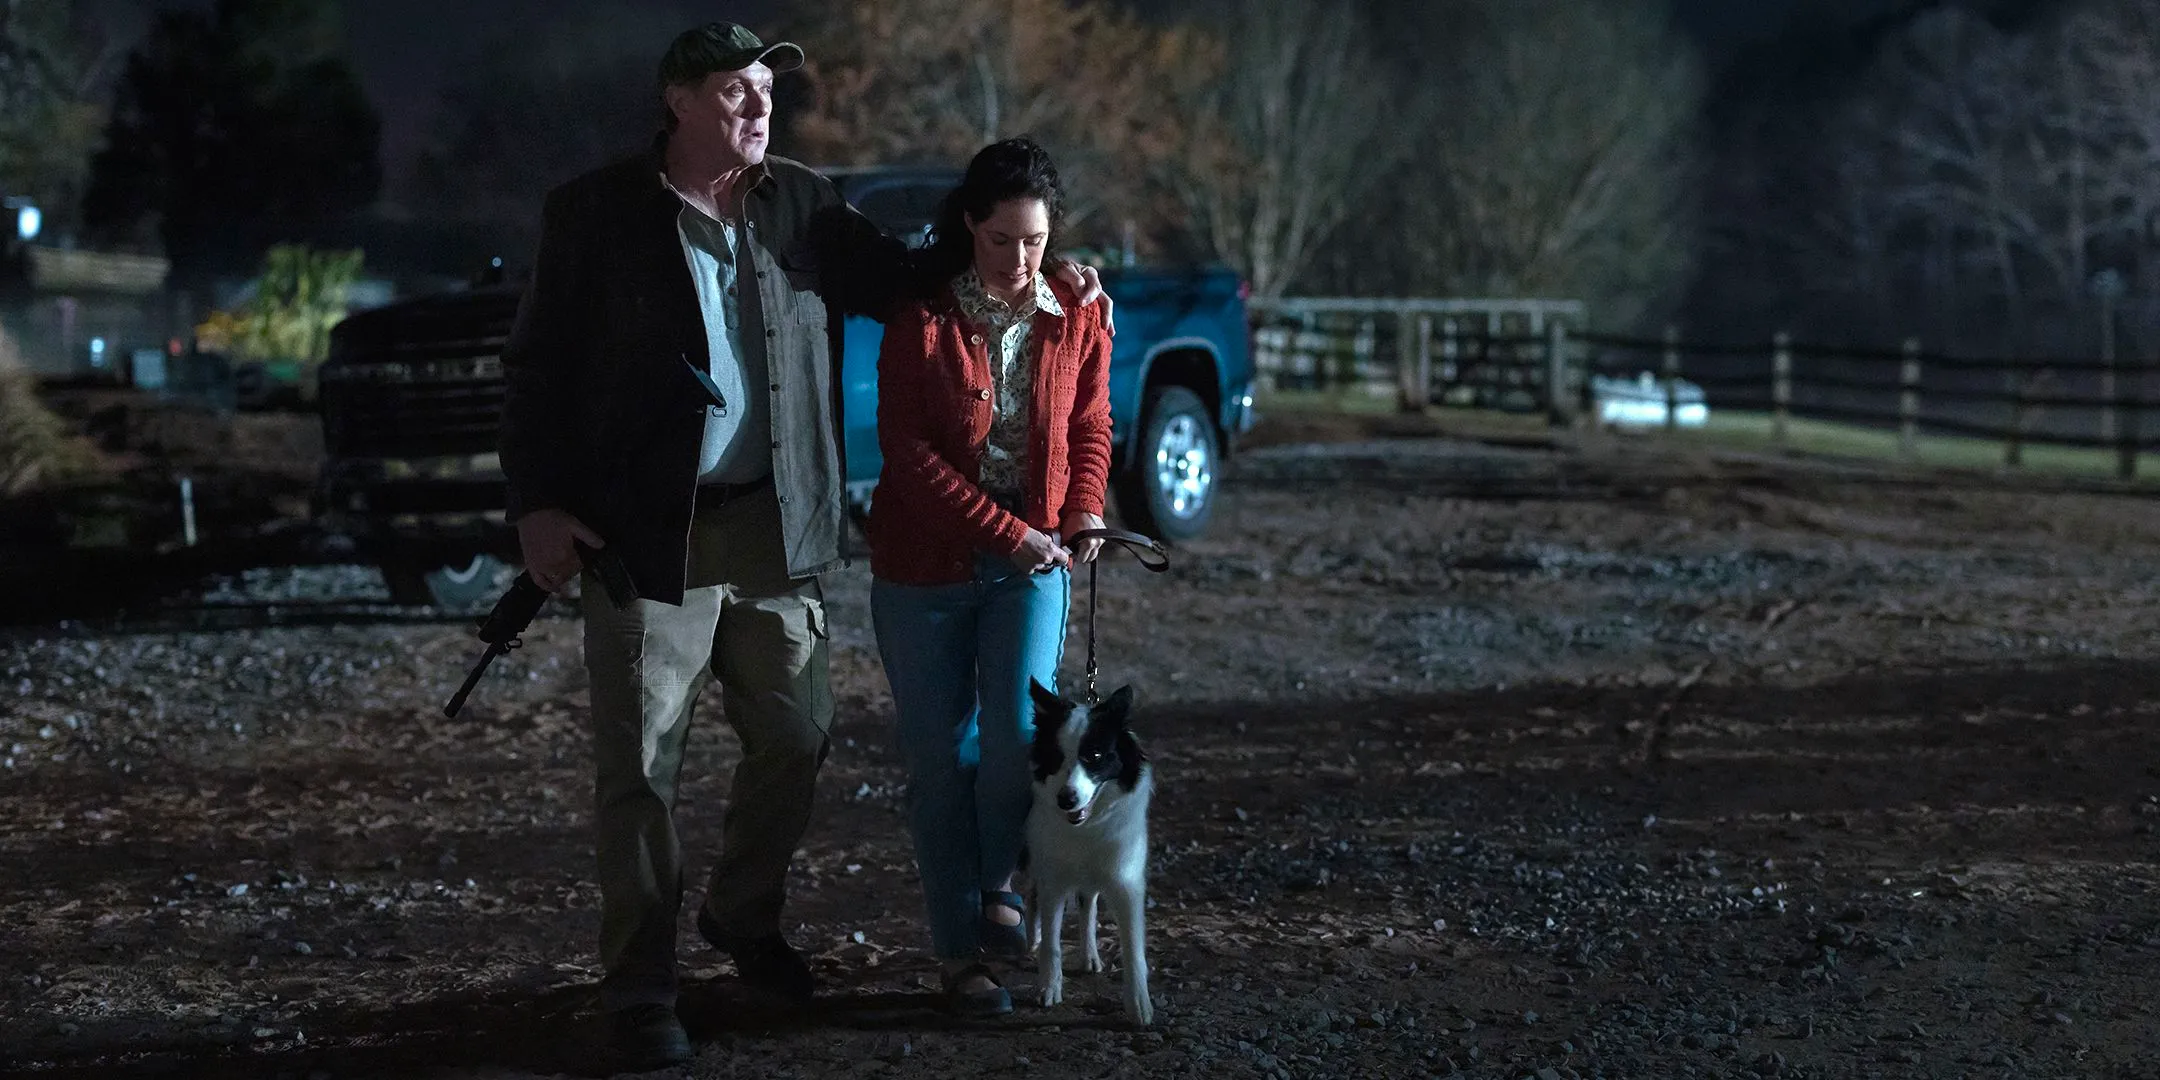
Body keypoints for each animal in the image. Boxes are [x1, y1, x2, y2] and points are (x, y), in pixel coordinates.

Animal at [1023, 678, 1157, 1023]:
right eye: (1056, 757)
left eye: (1094, 755)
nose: (1066, 799)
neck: (1085, 828)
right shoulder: (1053, 879)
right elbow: (1053, 944)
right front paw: (1049, 987)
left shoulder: (1125, 881)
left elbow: (1133, 948)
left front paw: (1139, 1004)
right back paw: (1034, 938)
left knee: (1088, 905)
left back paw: (1090, 956)